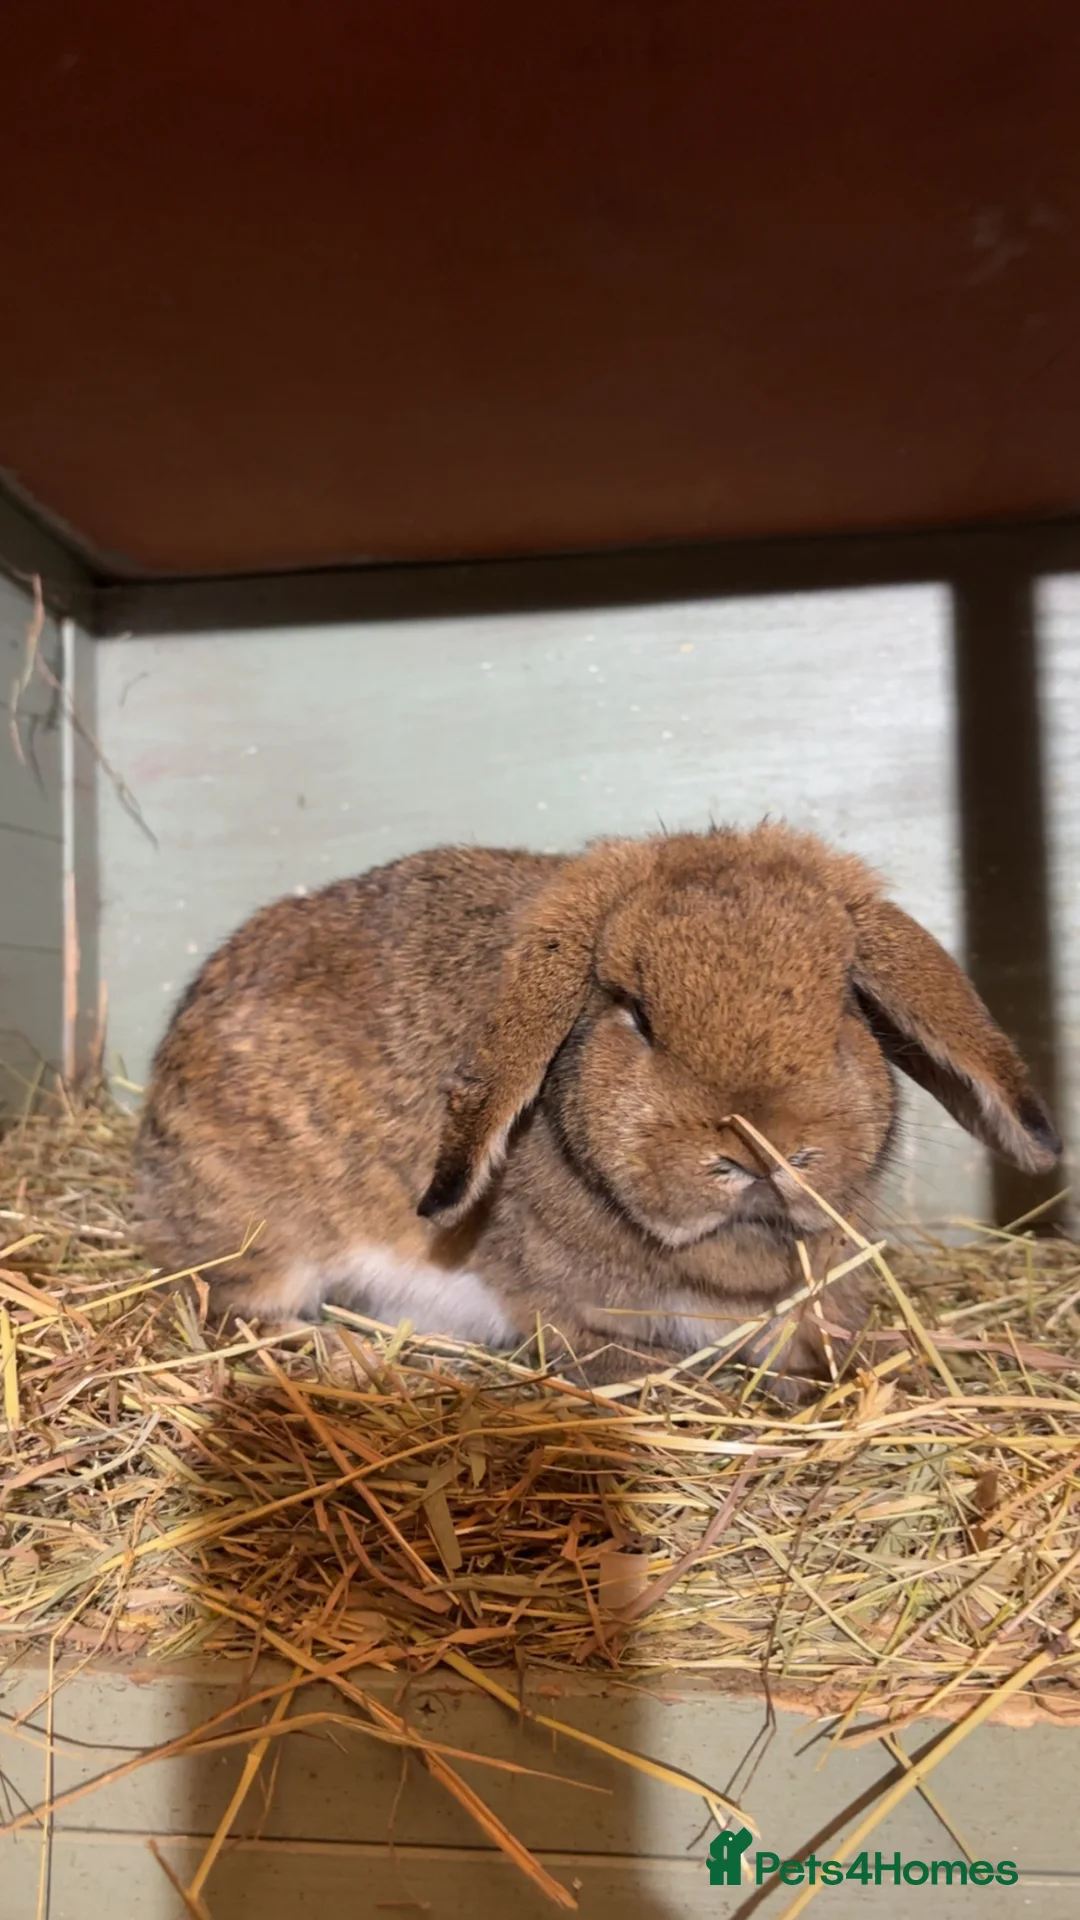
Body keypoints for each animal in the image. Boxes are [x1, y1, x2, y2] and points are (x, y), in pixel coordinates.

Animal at [133, 823, 1060, 1389]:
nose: (762, 1148)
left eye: (843, 1007)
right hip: (270, 1233)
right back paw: (347, 1355)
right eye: (635, 1014)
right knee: (234, 1307)